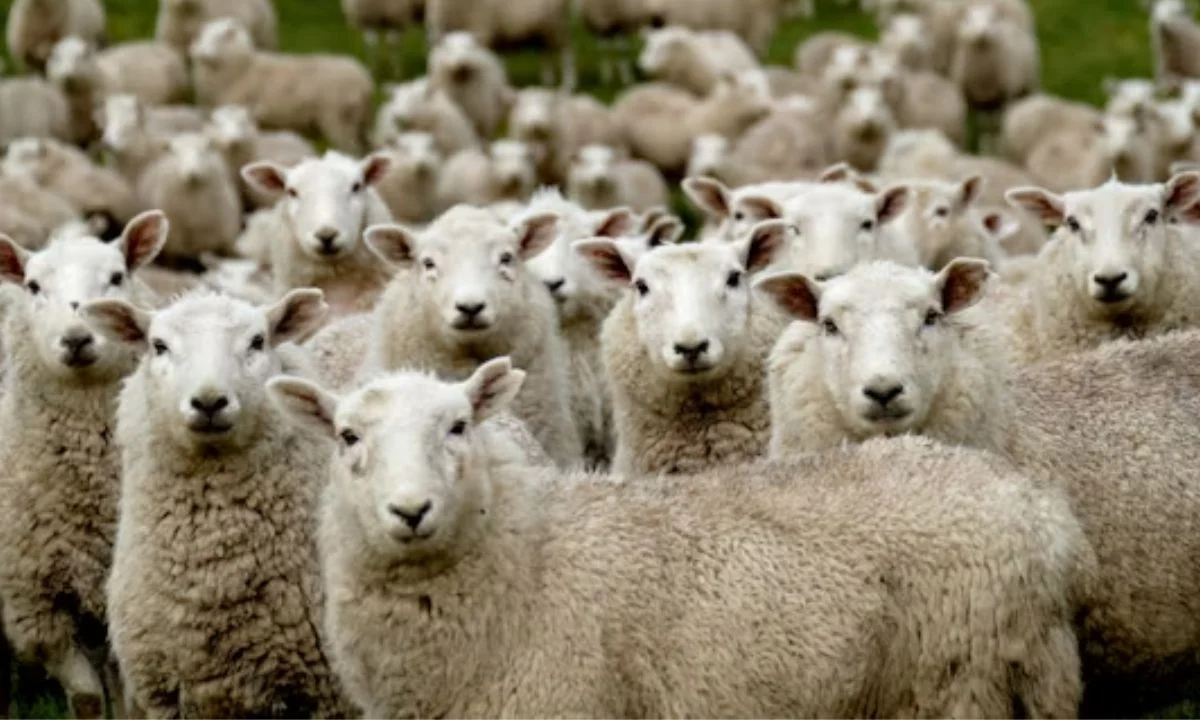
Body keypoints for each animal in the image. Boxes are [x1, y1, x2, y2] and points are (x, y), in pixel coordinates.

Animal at [0, 212, 168, 718]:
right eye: (33, 286)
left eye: (116, 276)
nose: (76, 338)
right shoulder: (37, 608)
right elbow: (88, 698)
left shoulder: (122, 605)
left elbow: (128, 702)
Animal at [190, 18, 374, 154]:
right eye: (202, 35)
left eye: (220, 37)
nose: (199, 53)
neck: (243, 68)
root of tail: (363, 78)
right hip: (359, 123)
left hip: (340, 120)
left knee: (353, 151)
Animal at [268, 360, 1088, 718]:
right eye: (347, 437)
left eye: (459, 426)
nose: (410, 511)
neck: (525, 562)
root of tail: (1043, 515)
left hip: (959, 680)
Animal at [426, 0, 573, 88]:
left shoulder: (482, 30)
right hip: (541, 31)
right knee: (546, 53)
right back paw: (547, 82)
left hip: (556, 26)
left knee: (567, 52)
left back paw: (568, 84)